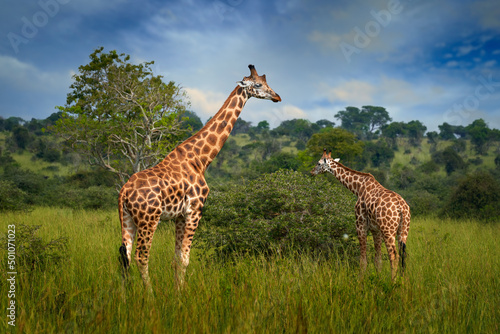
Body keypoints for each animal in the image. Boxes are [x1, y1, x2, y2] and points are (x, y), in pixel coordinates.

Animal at [118, 65, 282, 290]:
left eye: (267, 83)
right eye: (258, 85)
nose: (277, 96)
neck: (200, 160)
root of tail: (124, 192)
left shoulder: (179, 216)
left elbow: (176, 258)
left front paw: (177, 290)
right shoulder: (195, 210)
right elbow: (185, 259)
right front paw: (181, 293)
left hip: (127, 219)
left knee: (124, 255)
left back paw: (125, 295)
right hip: (149, 219)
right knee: (141, 257)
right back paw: (149, 294)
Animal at [312, 149, 410, 280]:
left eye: (318, 163)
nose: (312, 172)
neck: (357, 188)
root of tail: (402, 208)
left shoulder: (360, 225)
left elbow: (363, 259)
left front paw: (360, 279)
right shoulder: (375, 229)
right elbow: (377, 259)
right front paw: (378, 278)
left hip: (388, 230)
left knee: (394, 256)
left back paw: (393, 281)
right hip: (403, 230)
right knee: (403, 254)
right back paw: (403, 281)